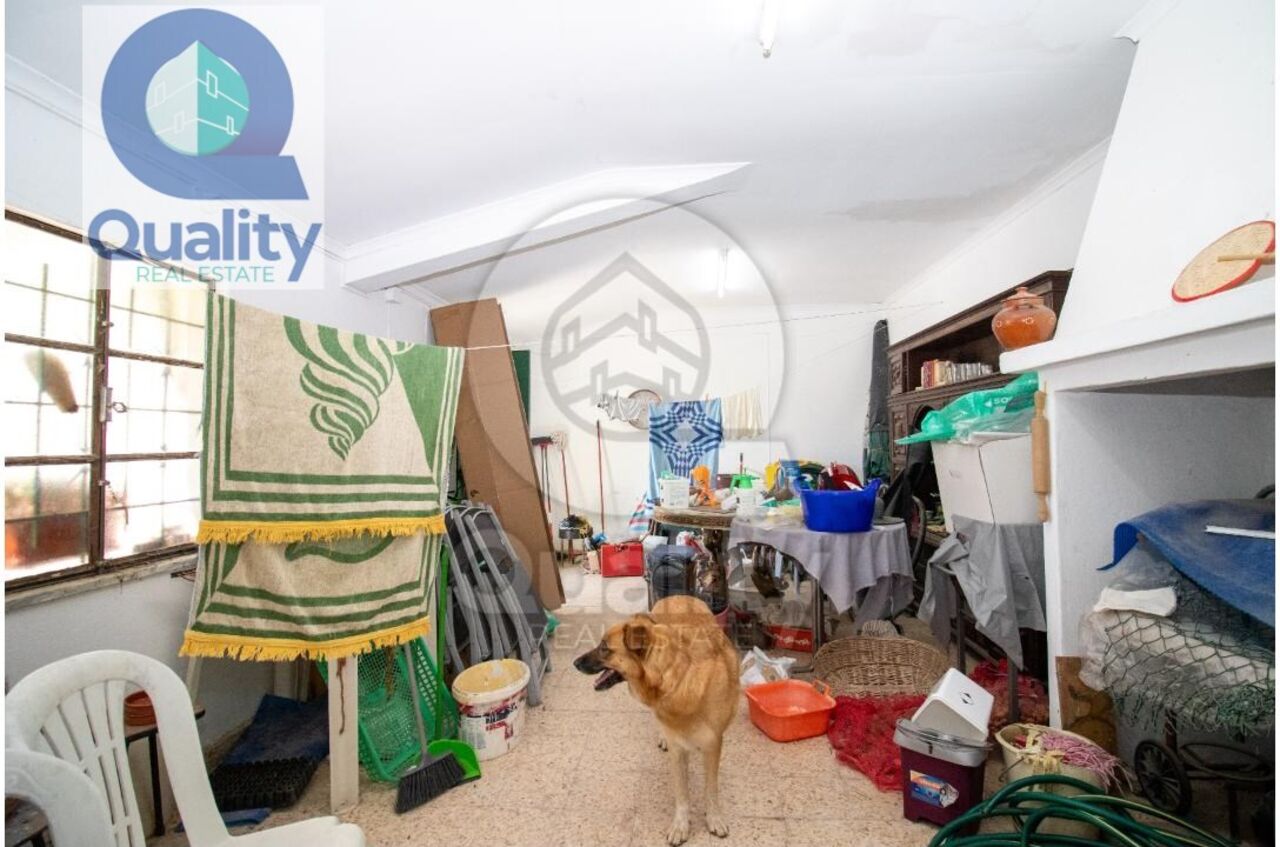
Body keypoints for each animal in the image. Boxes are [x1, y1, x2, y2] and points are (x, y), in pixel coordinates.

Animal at [574, 595, 739, 845]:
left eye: (605, 648)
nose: (574, 663)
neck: (677, 676)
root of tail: (678, 595)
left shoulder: (713, 746)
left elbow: (711, 790)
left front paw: (714, 818)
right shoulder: (678, 749)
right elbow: (682, 793)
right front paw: (681, 826)